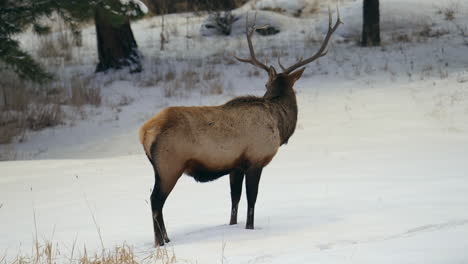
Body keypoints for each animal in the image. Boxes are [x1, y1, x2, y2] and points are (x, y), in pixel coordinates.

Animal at [138, 9, 340, 245]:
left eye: (266, 84)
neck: (279, 124)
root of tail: (144, 133)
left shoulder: (235, 165)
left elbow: (234, 199)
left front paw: (233, 225)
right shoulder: (256, 159)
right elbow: (252, 199)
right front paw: (250, 228)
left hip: (162, 169)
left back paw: (167, 239)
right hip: (170, 165)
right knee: (155, 201)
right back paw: (160, 242)